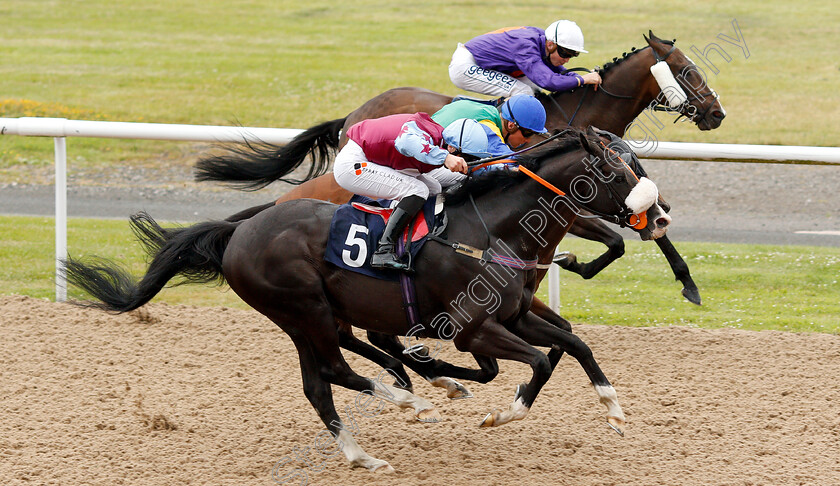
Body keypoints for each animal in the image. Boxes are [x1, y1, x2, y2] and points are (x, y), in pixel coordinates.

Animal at [65, 127, 664, 472]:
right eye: (614, 169)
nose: (659, 217)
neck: (490, 229)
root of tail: (239, 231)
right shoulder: (473, 328)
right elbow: (534, 363)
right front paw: (502, 413)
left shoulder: (514, 315)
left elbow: (575, 345)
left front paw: (614, 410)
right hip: (302, 308)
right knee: (334, 368)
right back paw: (409, 400)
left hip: (309, 316)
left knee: (321, 382)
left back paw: (365, 451)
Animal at [195, 30, 720, 304]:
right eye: (689, 72)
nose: (717, 113)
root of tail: (353, 115)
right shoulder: (567, 205)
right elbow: (616, 242)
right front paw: (573, 263)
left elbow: (644, 232)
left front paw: (689, 283)